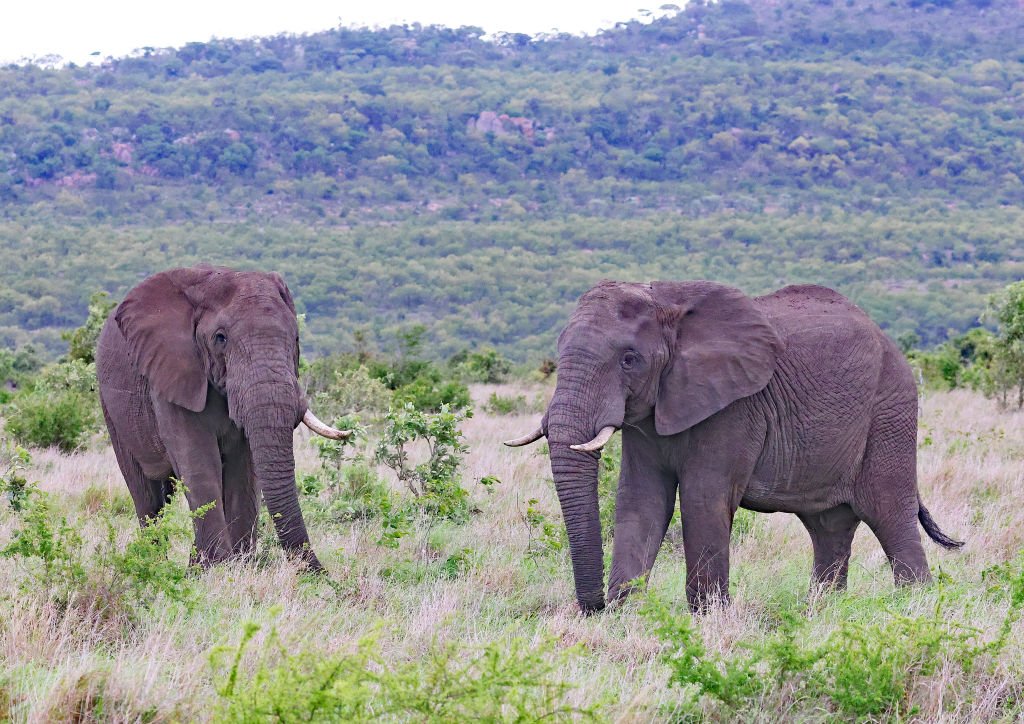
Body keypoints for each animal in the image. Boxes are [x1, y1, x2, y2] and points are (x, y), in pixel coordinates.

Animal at [96, 265, 349, 571]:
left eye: (297, 339)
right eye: (220, 338)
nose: (319, 573)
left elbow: (244, 468)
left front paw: (238, 567)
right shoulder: (173, 372)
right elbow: (200, 462)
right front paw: (217, 569)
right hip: (110, 407)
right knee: (147, 496)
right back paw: (153, 564)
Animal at [506, 281, 962, 613]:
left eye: (629, 360)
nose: (594, 607)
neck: (666, 303)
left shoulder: (735, 406)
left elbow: (702, 497)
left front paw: (708, 617)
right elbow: (641, 499)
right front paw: (626, 613)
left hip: (890, 409)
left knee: (887, 511)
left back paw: (915, 607)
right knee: (829, 525)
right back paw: (822, 611)